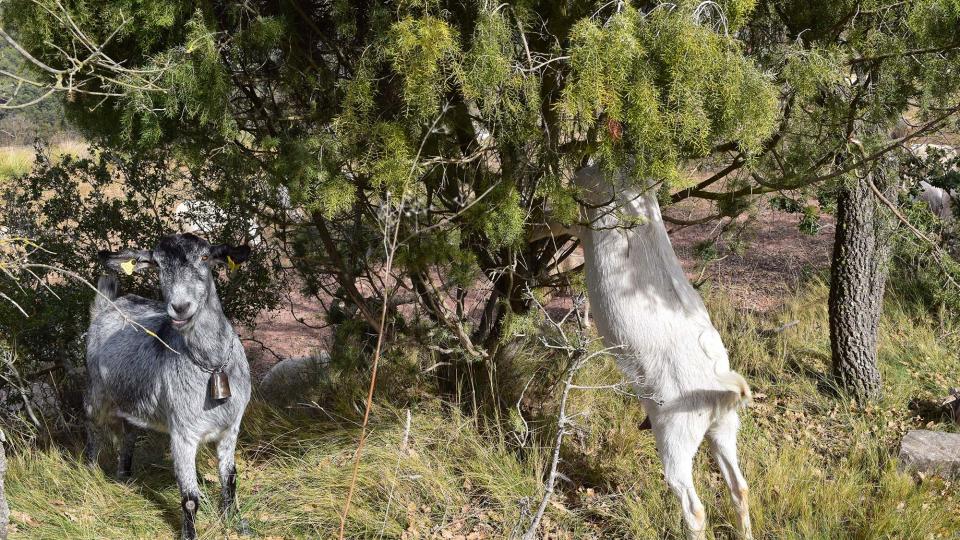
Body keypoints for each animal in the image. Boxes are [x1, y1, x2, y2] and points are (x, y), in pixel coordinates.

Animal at [85, 234, 253, 536]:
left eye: (205, 257)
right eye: (158, 265)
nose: (180, 307)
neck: (212, 364)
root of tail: (107, 305)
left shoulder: (231, 428)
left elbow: (230, 479)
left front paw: (234, 522)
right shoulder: (182, 434)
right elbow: (190, 499)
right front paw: (190, 534)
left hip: (132, 400)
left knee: (129, 433)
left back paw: (125, 476)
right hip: (96, 389)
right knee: (93, 427)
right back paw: (92, 473)